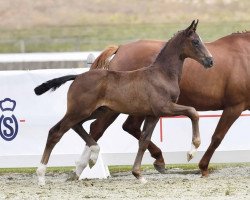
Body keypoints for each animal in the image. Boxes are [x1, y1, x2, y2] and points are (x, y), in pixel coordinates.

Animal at [34, 21, 212, 185]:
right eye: (195, 41)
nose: (210, 61)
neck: (162, 74)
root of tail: (77, 76)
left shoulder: (153, 114)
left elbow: (144, 141)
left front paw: (139, 175)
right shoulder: (165, 107)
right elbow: (193, 112)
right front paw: (192, 151)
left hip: (96, 111)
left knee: (77, 126)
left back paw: (93, 155)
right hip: (80, 111)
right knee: (56, 132)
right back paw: (41, 175)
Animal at [84, 28, 250, 177]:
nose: (210, 61)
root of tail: (121, 48)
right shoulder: (234, 107)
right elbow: (217, 137)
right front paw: (203, 166)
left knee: (130, 127)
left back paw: (159, 159)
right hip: (116, 107)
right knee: (97, 128)